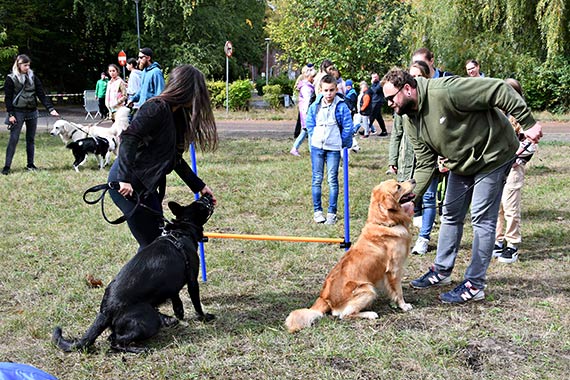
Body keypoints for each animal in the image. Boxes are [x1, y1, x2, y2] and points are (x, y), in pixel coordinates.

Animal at [52, 196, 215, 354]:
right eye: (201, 205)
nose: (207, 196)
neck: (181, 231)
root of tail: (105, 310)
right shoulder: (192, 280)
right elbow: (197, 304)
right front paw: (204, 317)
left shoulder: (172, 284)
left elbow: (176, 299)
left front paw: (179, 313)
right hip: (148, 322)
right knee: (114, 342)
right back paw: (140, 349)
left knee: (112, 338)